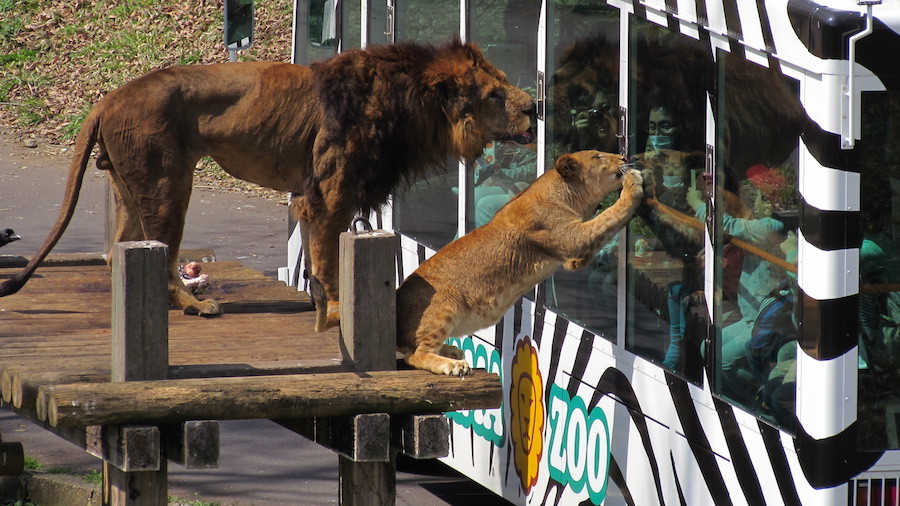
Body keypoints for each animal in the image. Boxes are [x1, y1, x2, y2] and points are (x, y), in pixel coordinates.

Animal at [0, 39, 536, 328]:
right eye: (493, 95)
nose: (535, 106)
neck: (409, 107)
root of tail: (108, 97)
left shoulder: (326, 197)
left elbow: (323, 258)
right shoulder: (330, 195)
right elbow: (327, 260)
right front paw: (335, 311)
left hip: (131, 189)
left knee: (120, 252)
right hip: (168, 185)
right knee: (162, 257)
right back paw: (195, 306)